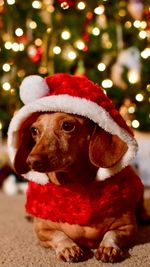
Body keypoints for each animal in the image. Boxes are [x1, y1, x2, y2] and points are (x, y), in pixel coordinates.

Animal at [12, 111, 149, 264]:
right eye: (34, 130)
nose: (31, 161)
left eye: (67, 126)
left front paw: (108, 247)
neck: (76, 189)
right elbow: (58, 235)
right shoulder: (42, 231)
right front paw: (68, 247)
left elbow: (112, 234)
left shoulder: (127, 228)